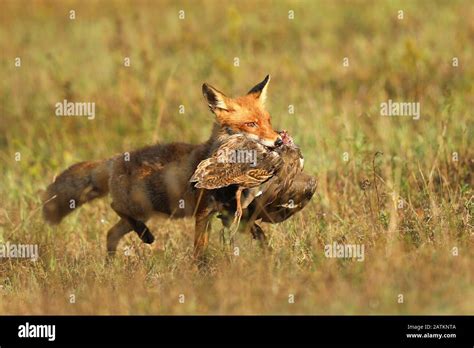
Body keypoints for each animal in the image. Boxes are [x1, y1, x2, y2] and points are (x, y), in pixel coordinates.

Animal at [41, 76, 286, 258]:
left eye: (268, 121)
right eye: (250, 124)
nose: (279, 141)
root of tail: (116, 158)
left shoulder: (232, 211)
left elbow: (258, 233)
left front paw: (269, 256)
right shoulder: (203, 212)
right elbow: (200, 251)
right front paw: (201, 273)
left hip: (146, 210)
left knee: (111, 233)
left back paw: (112, 263)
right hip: (140, 206)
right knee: (114, 207)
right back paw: (144, 236)